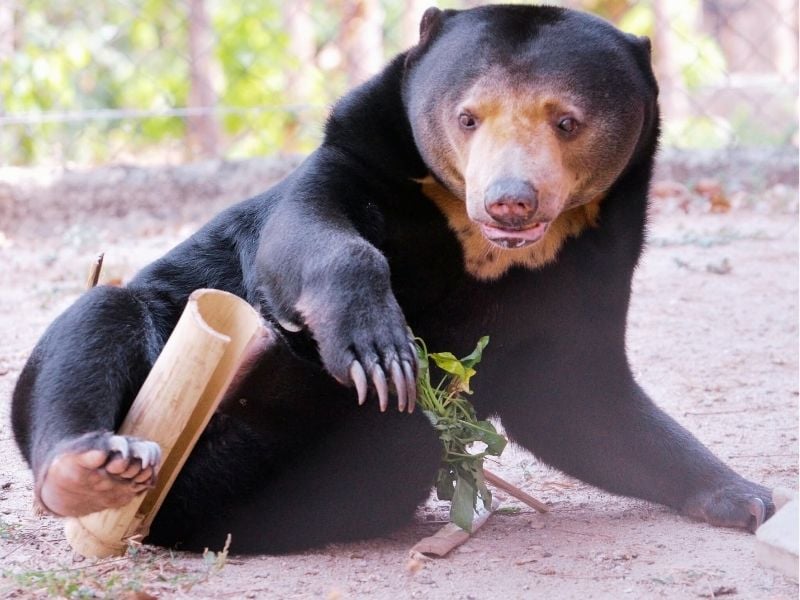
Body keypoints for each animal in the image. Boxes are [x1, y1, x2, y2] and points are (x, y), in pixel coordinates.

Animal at [11, 5, 774, 554]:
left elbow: (579, 397)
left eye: (566, 121)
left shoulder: (595, 260)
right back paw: (89, 469)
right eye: (468, 118)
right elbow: (304, 231)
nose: (510, 201)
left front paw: (748, 497)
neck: (485, 245)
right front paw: (379, 349)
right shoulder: (360, 152)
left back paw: (264, 373)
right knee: (97, 324)